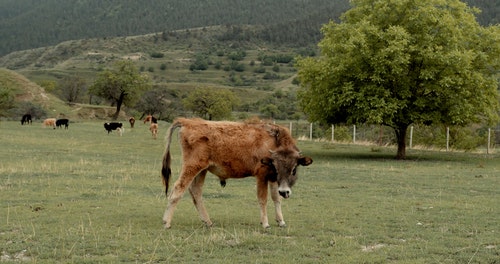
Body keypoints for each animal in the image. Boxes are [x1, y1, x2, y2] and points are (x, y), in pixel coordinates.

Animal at [161, 118, 312, 229]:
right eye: (276, 166)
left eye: (294, 169)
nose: (285, 192)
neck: (274, 141)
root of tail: (187, 121)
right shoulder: (262, 176)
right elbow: (263, 199)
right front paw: (265, 223)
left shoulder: (273, 179)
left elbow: (276, 198)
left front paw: (281, 221)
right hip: (191, 167)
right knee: (178, 189)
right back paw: (166, 222)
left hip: (201, 170)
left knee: (196, 191)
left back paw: (208, 222)